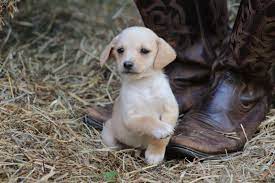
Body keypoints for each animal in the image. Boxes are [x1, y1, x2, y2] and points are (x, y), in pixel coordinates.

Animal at [99, 26, 179, 165]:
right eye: (120, 50)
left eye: (144, 51)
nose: (127, 64)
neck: (144, 84)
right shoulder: (131, 117)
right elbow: (147, 120)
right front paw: (161, 128)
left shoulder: (170, 110)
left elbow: (162, 139)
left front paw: (155, 153)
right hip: (109, 134)